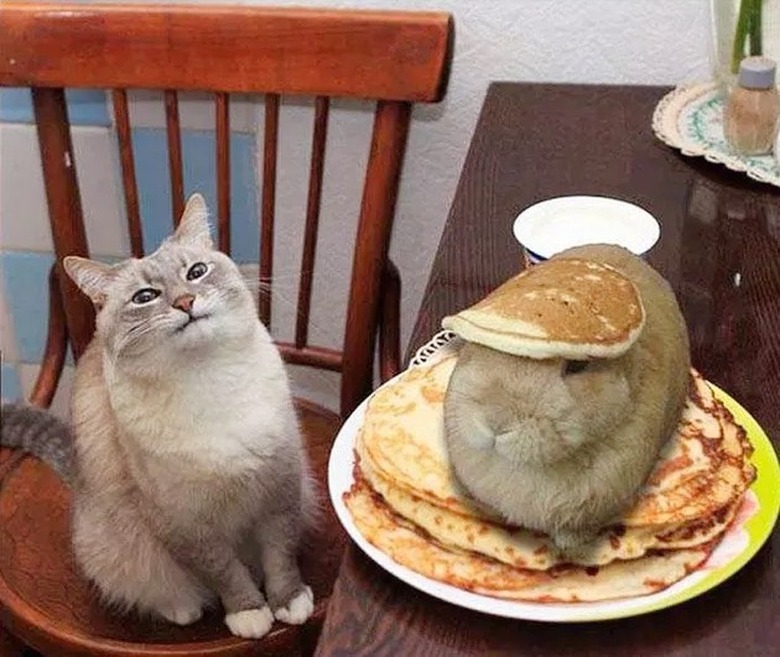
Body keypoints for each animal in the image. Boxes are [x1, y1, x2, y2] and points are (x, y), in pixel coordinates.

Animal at [1, 192, 316, 640]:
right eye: (145, 297)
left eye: (196, 272)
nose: (185, 302)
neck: (208, 378)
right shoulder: (184, 523)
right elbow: (226, 573)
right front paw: (250, 613)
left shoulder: (280, 489)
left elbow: (280, 558)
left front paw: (290, 602)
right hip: (117, 546)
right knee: (156, 587)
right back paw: (183, 609)